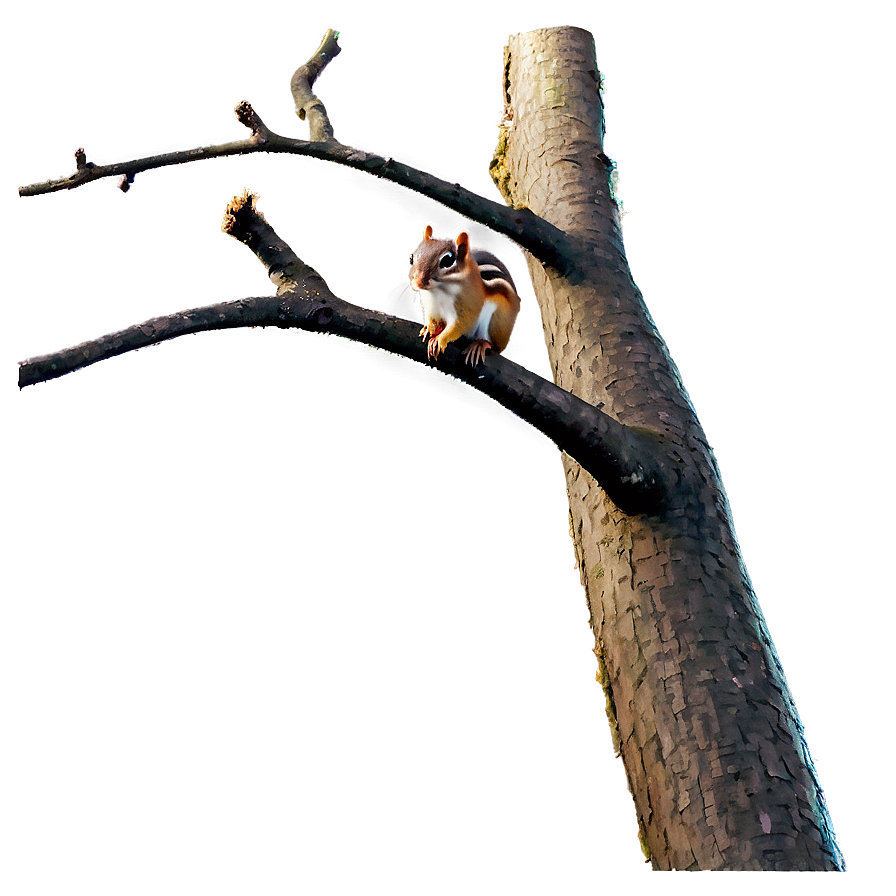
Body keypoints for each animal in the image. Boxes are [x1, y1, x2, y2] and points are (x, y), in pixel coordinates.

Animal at [409, 224, 521, 366]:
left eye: (447, 260)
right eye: (411, 258)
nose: (418, 283)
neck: (437, 291)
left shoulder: (467, 306)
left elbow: (460, 324)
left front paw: (440, 340)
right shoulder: (430, 307)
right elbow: (431, 318)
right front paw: (429, 328)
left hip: (498, 321)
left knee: (493, 345)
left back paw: (480, 344)